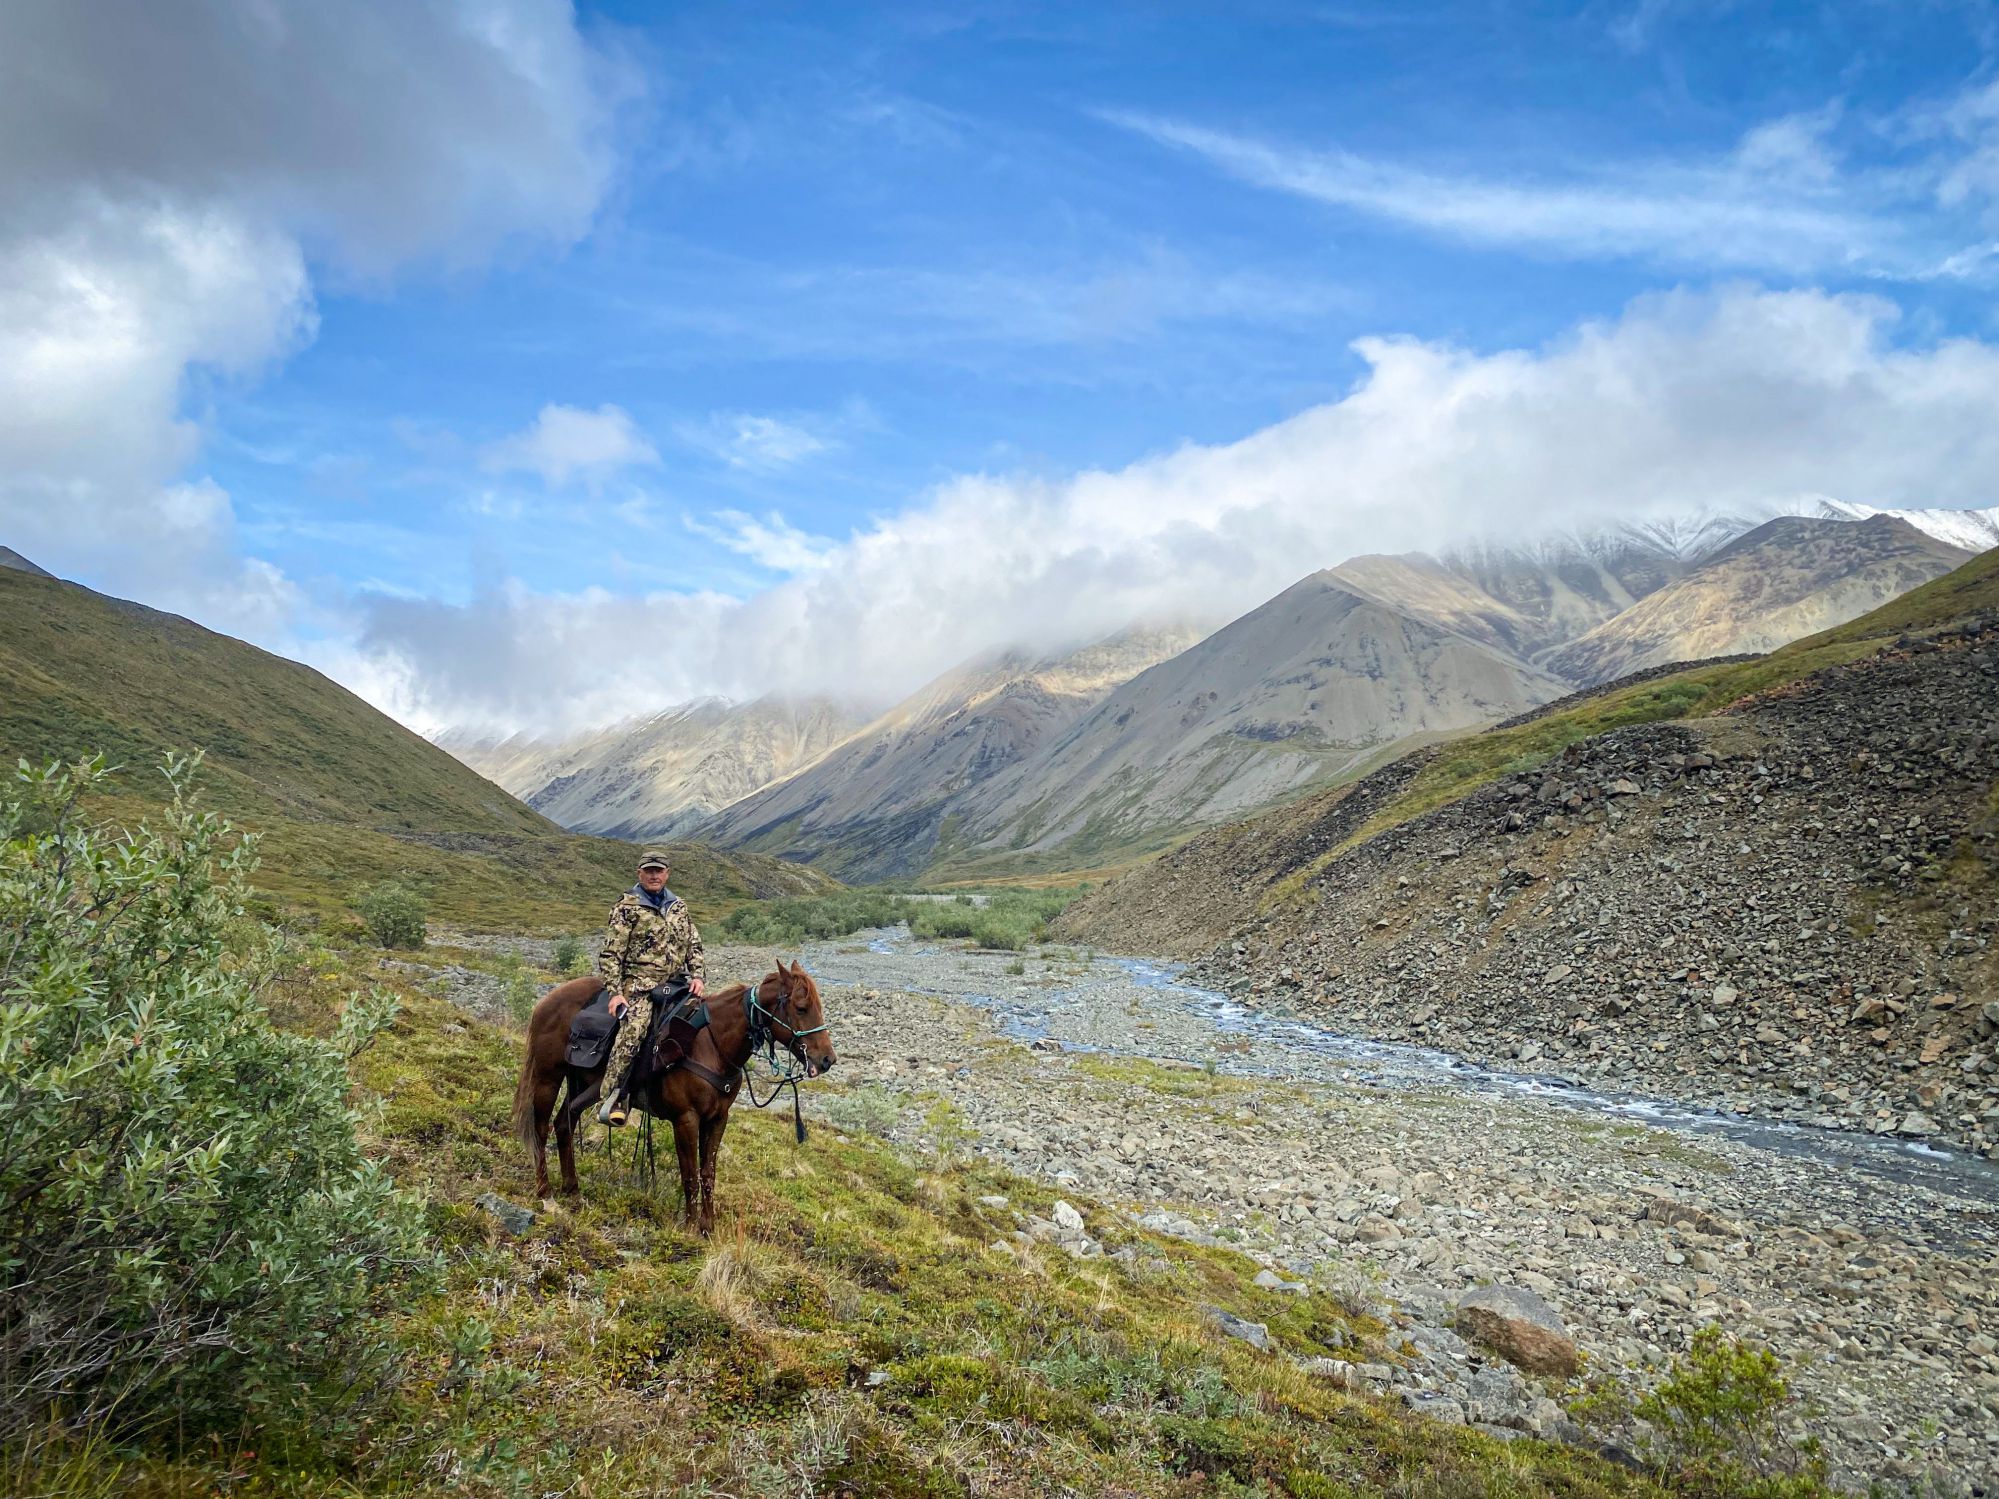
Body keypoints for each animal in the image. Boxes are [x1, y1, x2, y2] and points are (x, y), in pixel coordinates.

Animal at [515, 963, 835, 1231]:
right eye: (801, 1008)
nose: (827, 1060)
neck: (713, 1045)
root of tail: (548, 1000)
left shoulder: (718, 1119)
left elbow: (708, 1173)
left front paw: (708, 1225)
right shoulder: (686, 1119)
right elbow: (690, 1173)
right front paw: (691, 1226)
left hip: (584, 1084)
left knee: (564, 1123)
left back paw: (573, 1190)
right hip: (548, 1077)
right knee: (541, 1129)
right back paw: (546, 1193)